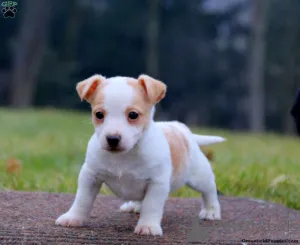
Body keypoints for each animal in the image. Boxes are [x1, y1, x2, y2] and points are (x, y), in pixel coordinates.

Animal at [56, 74, 225, 235]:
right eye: (99, 114)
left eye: (133, 115)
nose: (112, 139)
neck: (125, 155)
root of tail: (182, 130)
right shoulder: (90, 176)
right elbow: (82, 200)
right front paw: (73, 217)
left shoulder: (156, 183)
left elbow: (151, 206)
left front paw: (148, 226)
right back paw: (134, 206)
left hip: (200, 177)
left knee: (210, 191)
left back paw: (211, 211)